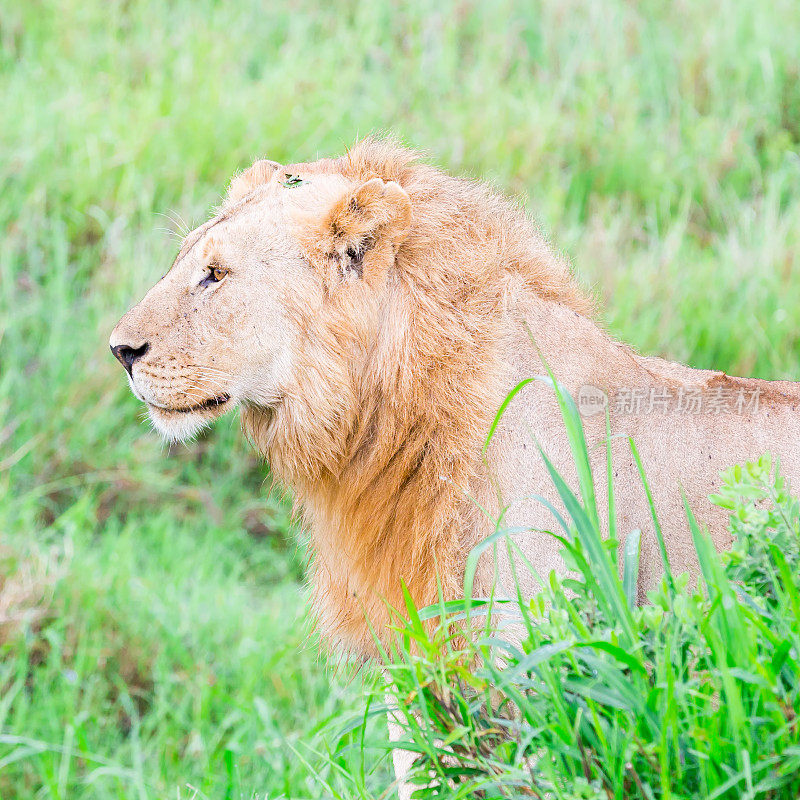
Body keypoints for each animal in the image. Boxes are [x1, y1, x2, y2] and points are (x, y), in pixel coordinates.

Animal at [109, 138, 800, 788]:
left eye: (215, 275)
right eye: (183, 262)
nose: (120, 350)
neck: (377, 430)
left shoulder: (537, 673)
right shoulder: (411, 666)